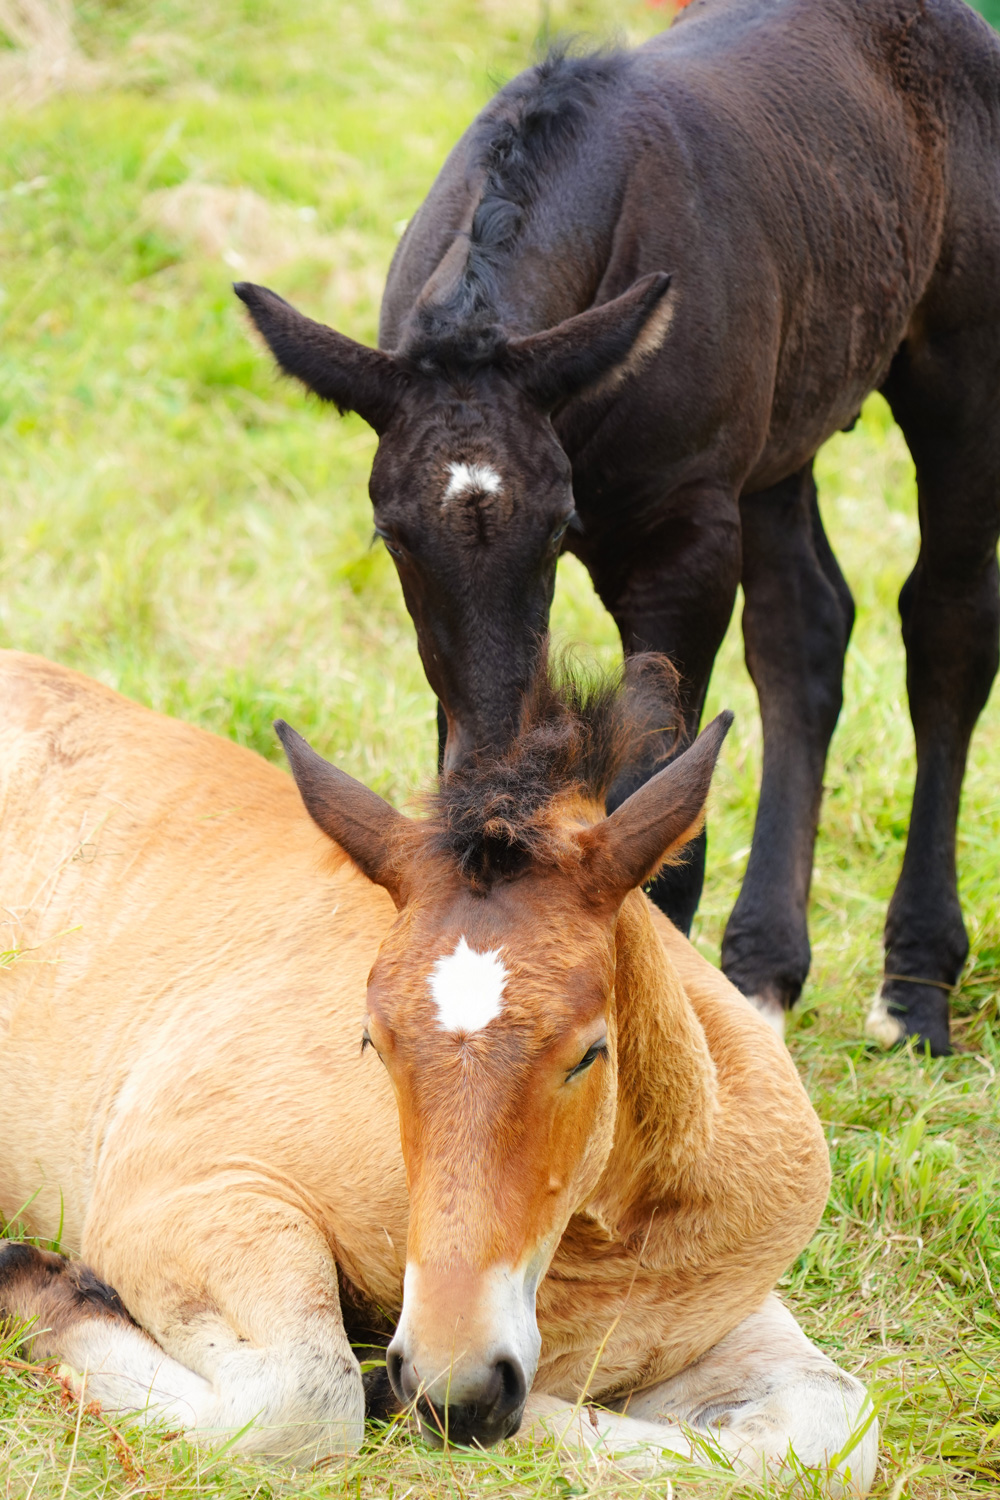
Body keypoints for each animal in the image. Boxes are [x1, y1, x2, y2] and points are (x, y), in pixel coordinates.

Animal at [0, 654, 875, 1488]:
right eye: (372, 1043)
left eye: (590, 1052)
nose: (460, 1387)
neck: (604, 1244)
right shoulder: (180, 1197)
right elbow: (304, 1400)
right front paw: (39, 1285)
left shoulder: (698, 1311)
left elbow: (829, 1425)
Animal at [238, 0, 1000, 1056]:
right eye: (391, 537)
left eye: (561, 523)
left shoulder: (685, 536)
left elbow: (659, 805)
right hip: (779, 435)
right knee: (805, 624)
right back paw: (765, 968)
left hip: (960, 368)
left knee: (947, 623)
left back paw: (917, 984)